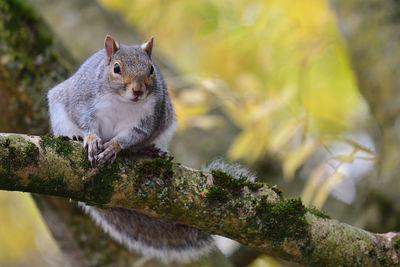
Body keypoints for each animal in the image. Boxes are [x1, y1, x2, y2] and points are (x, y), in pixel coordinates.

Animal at [46, 35, 216, 264]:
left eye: (151, 69)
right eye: (116, 68)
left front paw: (113, 147)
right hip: (58, 104)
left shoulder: (146, 120)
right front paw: (91, 139)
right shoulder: (84, 102)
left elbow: (130, 137)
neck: (122, 101)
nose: (138, 91)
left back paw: (150, 152)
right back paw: (73, 136)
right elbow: (85, 121)